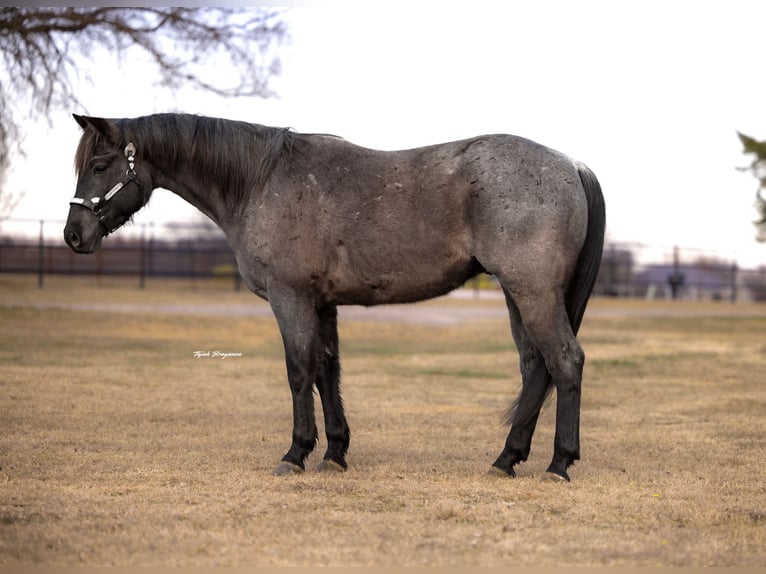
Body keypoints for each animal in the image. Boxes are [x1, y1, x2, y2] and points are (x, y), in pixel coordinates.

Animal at [64, 113, 605, 481]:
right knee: (536, 367)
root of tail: (572, 165)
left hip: (531, 292)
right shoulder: (321, 302)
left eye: (100, 164)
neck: (261, 181)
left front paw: (295, 453)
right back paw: (507, 458)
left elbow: (299, 372)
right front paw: (334, 453)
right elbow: (327, 369)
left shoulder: (290, 298)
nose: (74, 235)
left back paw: (558, 463)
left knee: (565, 360)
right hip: (519, 294)